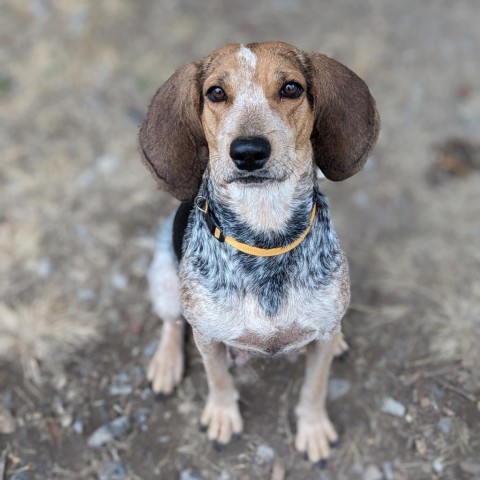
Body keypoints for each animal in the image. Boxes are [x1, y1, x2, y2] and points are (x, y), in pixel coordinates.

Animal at [138, 41, 378, 464]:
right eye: (216, 92)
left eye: (291, 88)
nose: (248, 152)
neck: (265, 237)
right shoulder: (208, 339)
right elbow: (218, 379)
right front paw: (222, 416)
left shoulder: (320, 339)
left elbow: (315, 388)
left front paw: (313, 429)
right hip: (163, 277)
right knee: (171, 322)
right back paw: (166, 363)